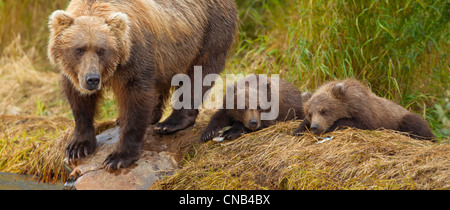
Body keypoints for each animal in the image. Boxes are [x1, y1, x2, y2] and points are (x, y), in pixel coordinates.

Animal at [47, 0, 239, 170]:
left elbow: (137, 97)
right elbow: (78, 100)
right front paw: (77, 147)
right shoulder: (75, 72)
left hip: (207, 31)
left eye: (102, 50)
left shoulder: (135, 55)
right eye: (79, 49)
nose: (92, 79)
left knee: (198, 74)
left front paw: (118, 157)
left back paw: (170, 123)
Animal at [294, 78, 434, 140]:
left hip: (403, 117)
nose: (315, 127)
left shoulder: (366, 113)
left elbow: (358, 123)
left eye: (324, 110)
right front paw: (298, 129)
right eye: (309, 113)